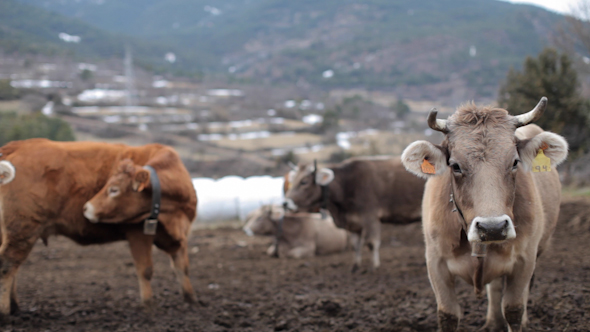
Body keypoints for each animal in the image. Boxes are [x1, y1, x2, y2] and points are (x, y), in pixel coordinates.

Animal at [0, 138, 200, 316]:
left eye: (114, 189)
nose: (86, 208)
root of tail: (16, 145)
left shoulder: (179, 237)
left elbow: (183, 267)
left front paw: (191, 302)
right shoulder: (138, 234)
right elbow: (146, 270)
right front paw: (148, 307)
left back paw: (15, 307)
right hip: (23, 229)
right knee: (8, 265)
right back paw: (5, 312)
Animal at [286, 157, 426, 272]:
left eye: (304, 182)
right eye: (293, 181)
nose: (285, 203)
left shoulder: (371, 218)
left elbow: (371, 243)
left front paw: (374, 266)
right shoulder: (354, 224)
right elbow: (355, 246)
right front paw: (355, 267)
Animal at [402, 98, 568, 332]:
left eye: (515, 162)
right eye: (455, 165)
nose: (493, 228)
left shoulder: (525, 259)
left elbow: (514, 309)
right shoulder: (435, 262)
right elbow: (448, 314)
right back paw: (492, 322)